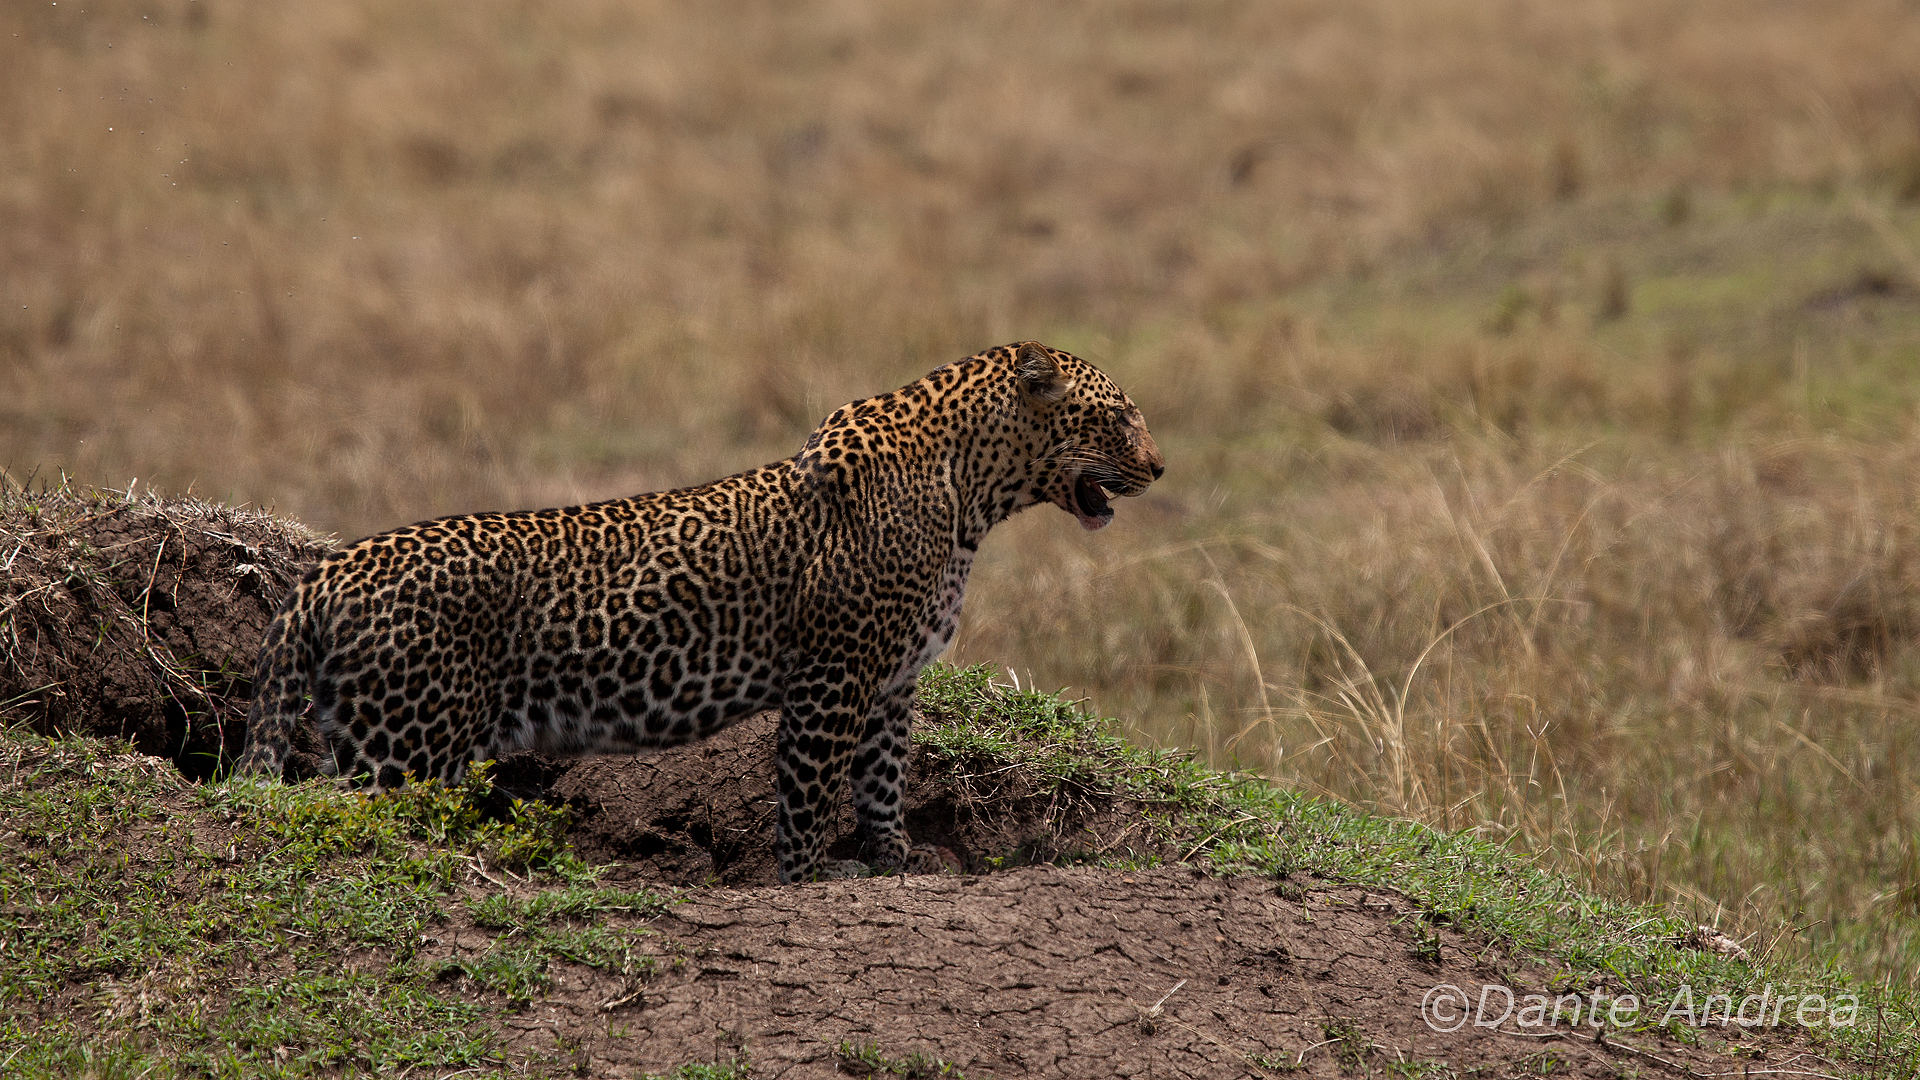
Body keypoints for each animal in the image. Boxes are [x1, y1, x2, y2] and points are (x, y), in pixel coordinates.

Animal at [237, 341, 1164, 883]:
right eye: (1118, 416)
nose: (1160, 467)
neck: (973, 492)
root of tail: (325, 571)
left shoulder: (891, 683)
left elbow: (882, 781)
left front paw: (895, 860)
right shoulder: (832, 679)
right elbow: (808, 794)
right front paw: (808, 879)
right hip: (402, 748)